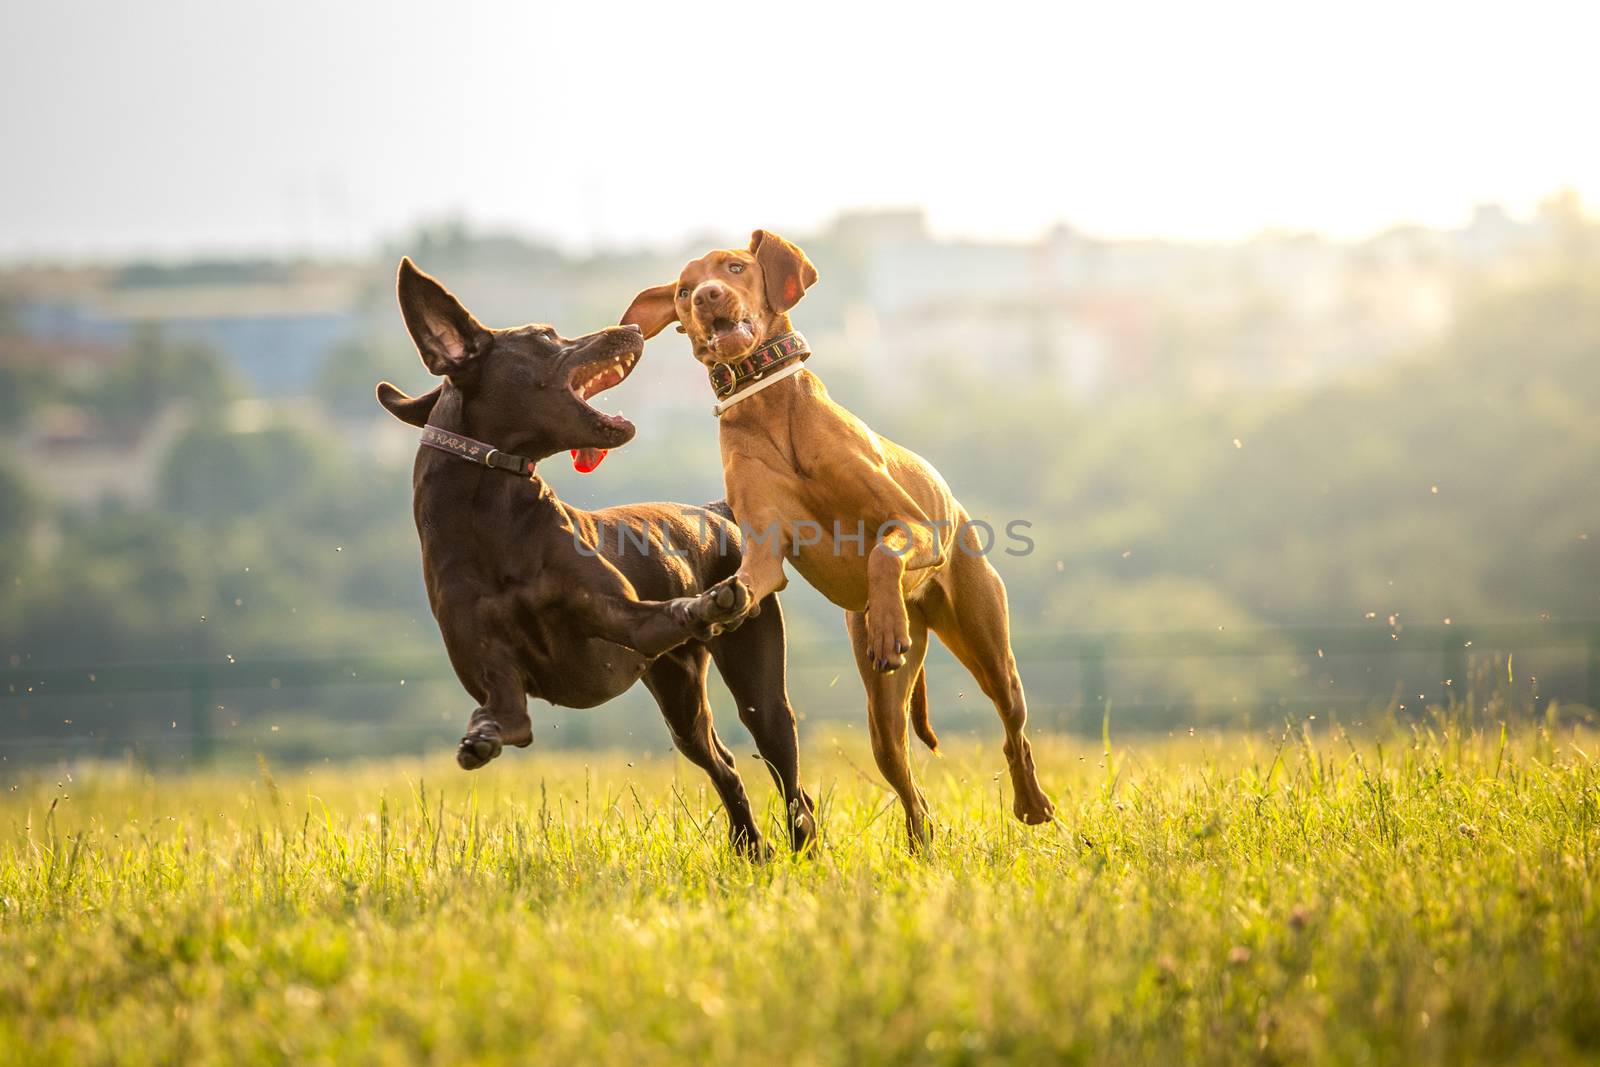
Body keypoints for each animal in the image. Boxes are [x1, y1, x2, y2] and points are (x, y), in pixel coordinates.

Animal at [617, 230, 1056, 844]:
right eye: (682, 290)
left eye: (734, 267)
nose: (706, 297)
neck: (767, 401)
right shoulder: (764, 556)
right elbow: (748, 581)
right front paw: (718, 602)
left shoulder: (912, 525)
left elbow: (882, 554)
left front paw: (888, 622)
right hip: (882, 714)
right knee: (910, 789)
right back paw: (924, 845)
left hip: (989, 645)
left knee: (1014, 728)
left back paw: (1031, 802)